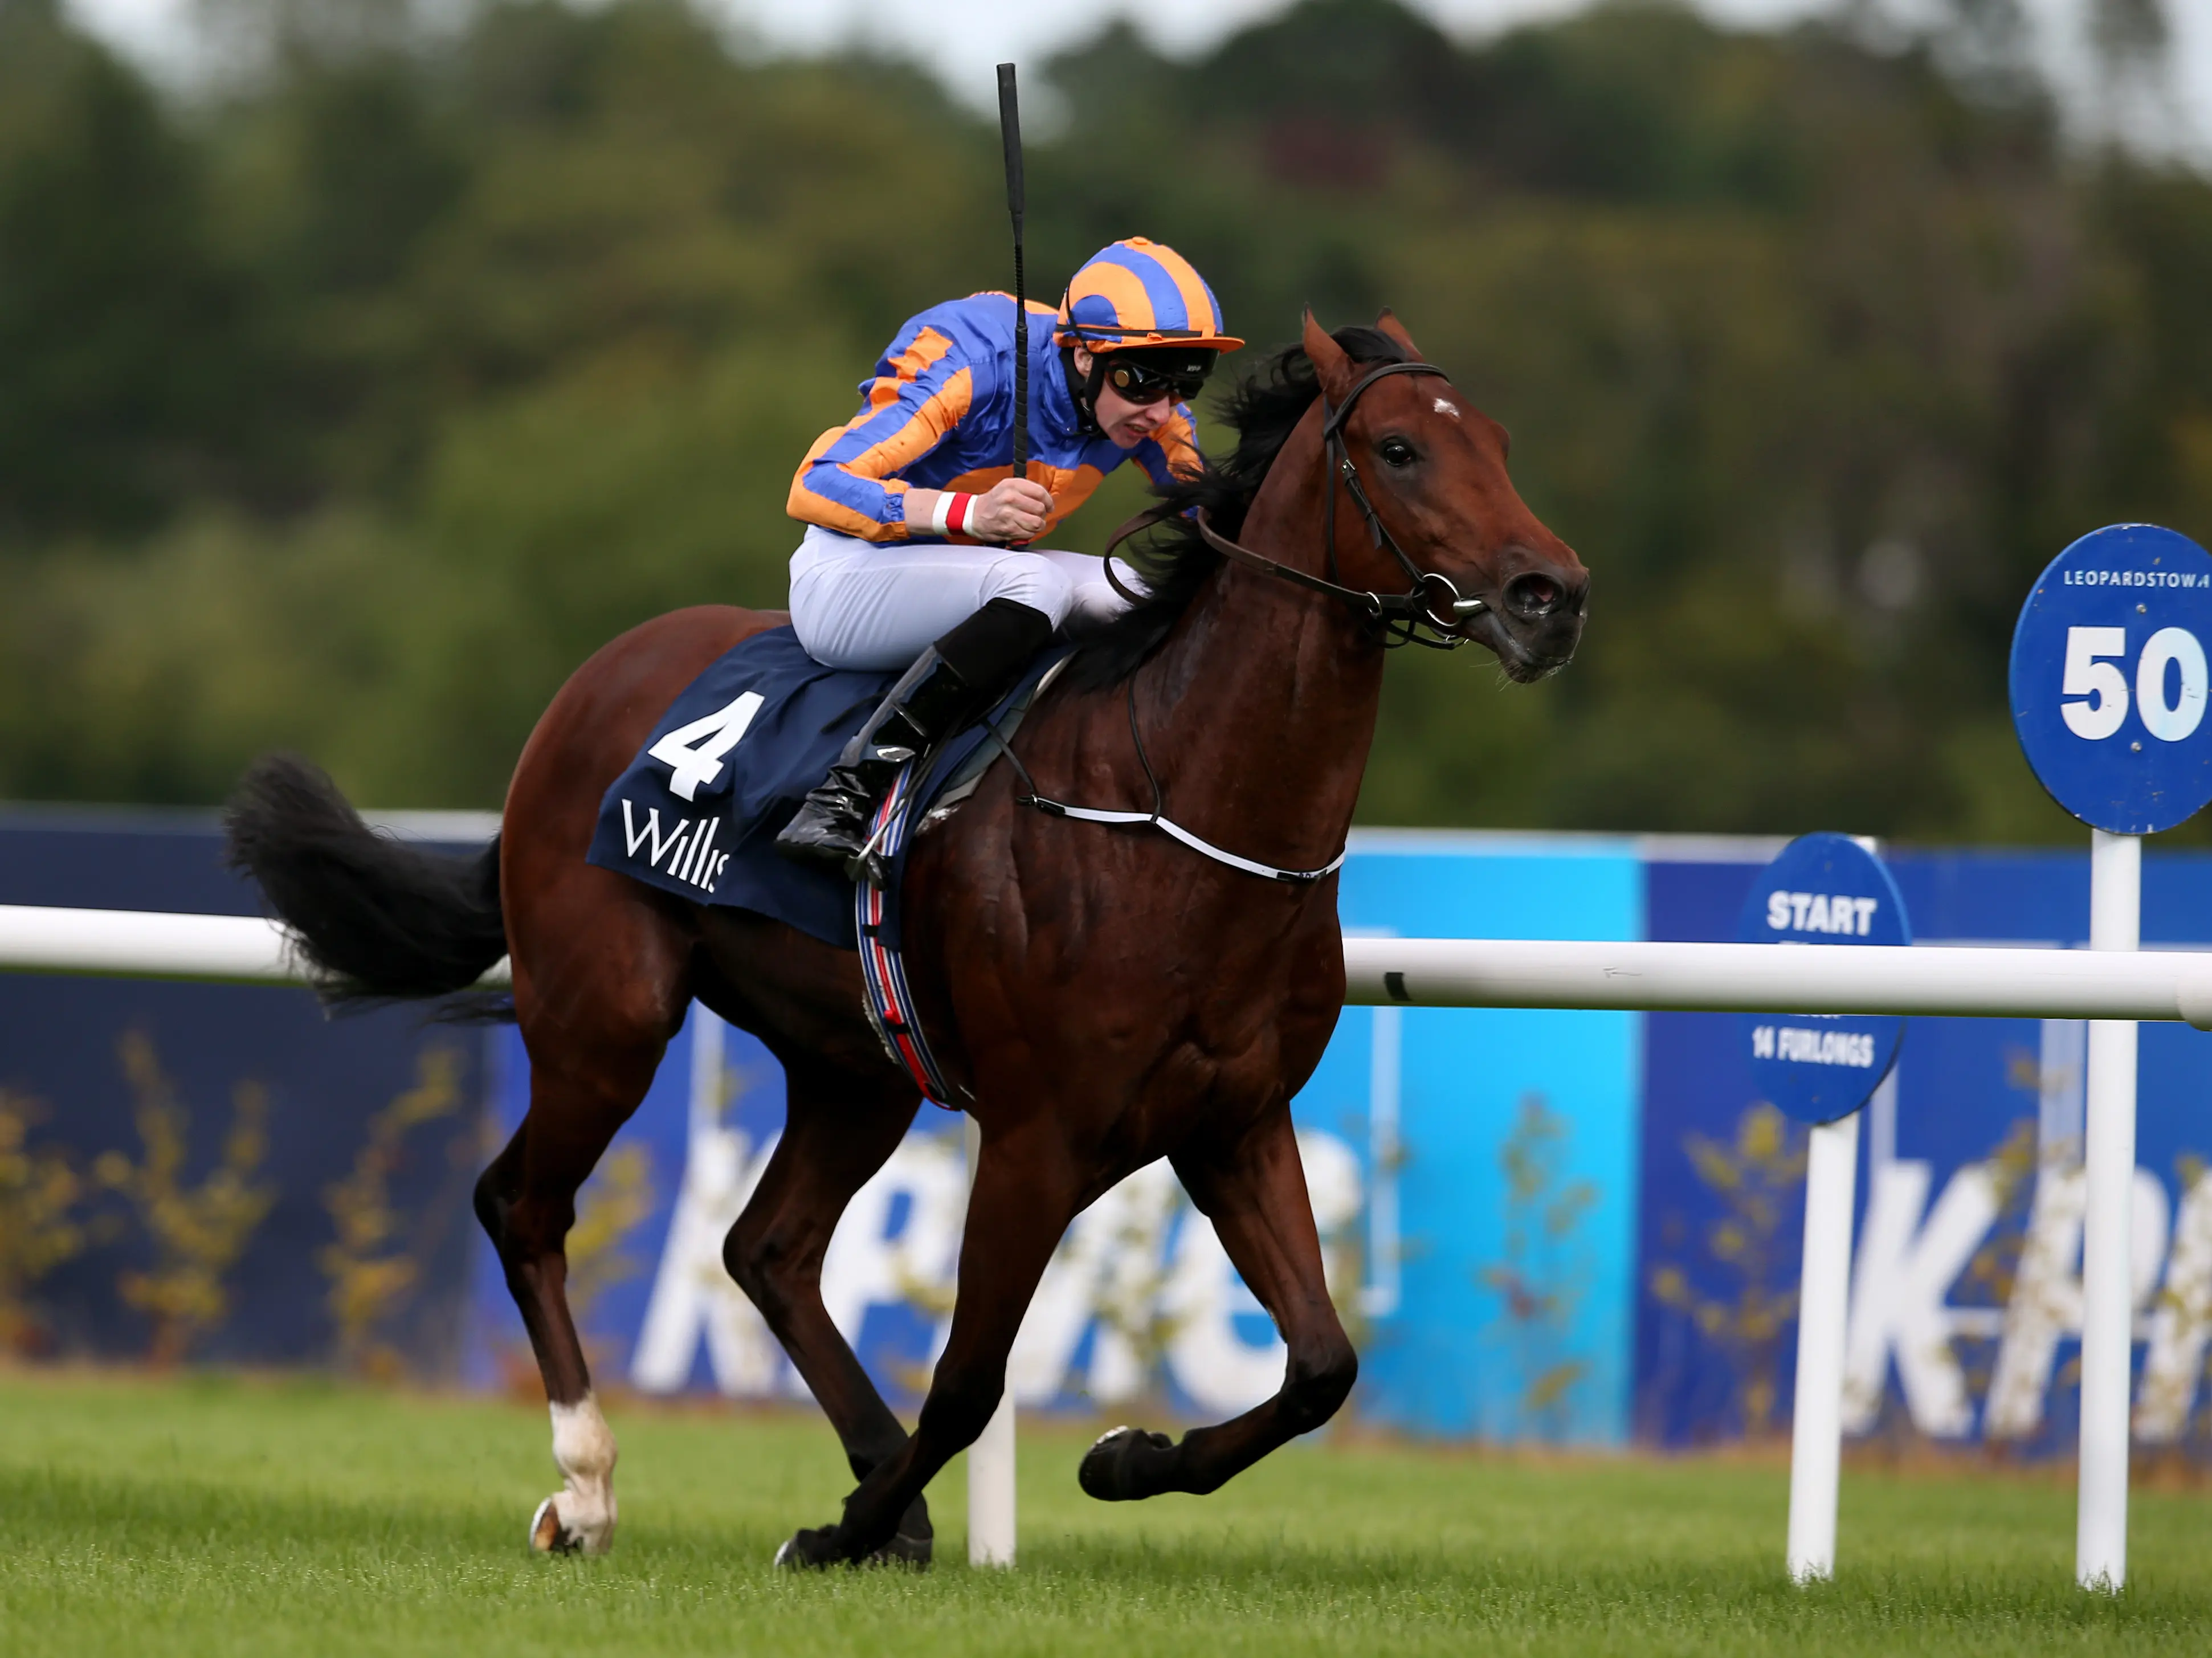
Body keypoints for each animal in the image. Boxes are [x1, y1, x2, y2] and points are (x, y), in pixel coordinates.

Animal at [226, 310, 1588, 1567]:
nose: (1552, 596)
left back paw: (883, 1485)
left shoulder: (1234, 1122)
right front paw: (838, 1532)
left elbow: (1321, 1365)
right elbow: (974, 1377)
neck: (1179, 805)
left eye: (1500, 441)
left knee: (767, 1249)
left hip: (853, 1063)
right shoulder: (1040, 1137)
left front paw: (1124, 1458)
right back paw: (591, 1488)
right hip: (604, 1017)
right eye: (1400, 449)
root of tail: (589, 682)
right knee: (521, 1205)